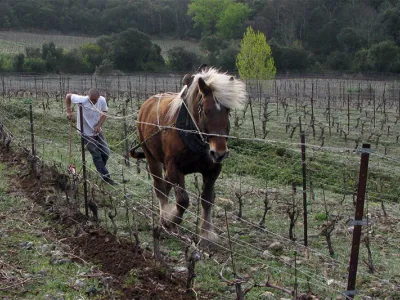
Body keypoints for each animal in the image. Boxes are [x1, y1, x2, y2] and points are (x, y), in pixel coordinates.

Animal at [134, 67, 247, 241]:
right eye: (205, 111)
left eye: (228, 111)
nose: (219, 153)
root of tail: (148, 102)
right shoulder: (174, 167)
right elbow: (183, 201)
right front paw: (170, 219)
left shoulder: (212, 170)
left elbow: (207, 200)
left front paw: (206, 233)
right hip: (151, 157)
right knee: (160, 188)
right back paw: (163, 217)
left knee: (166, 187)